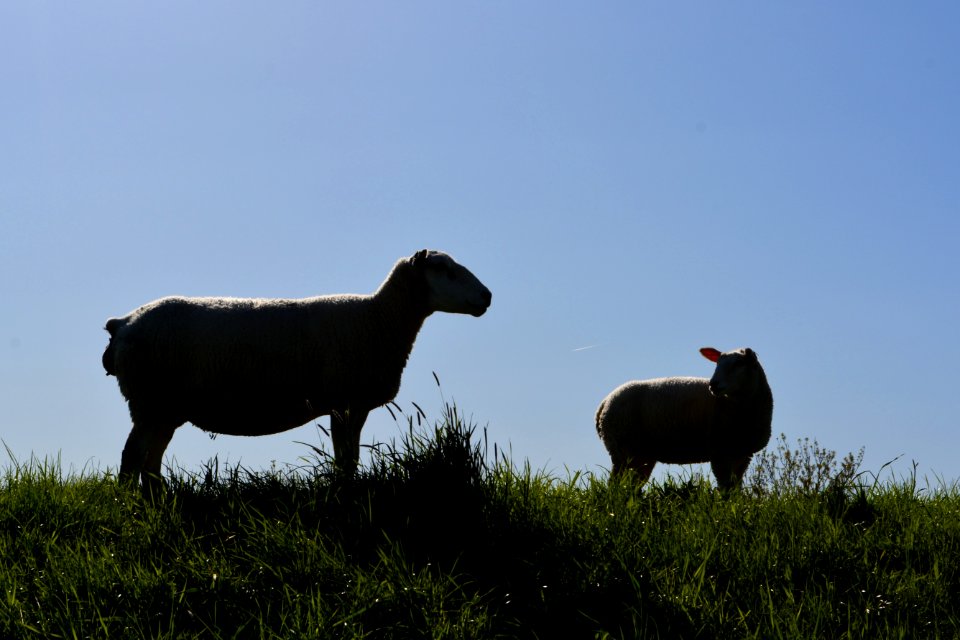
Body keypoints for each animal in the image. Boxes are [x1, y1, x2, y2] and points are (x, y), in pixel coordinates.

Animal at [104, 248, 492, 488]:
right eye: (443, 269)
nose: (487, 296)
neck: (378, 318)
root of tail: (123, 323)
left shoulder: (352, 406)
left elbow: (348, 458)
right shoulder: (344, 402)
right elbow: (345, 459)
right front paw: (346, 491)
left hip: (163, 408)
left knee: (150, 461)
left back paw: (156, 500)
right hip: (149, 400)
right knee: (132, 457)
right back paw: (128, 506)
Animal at [592, 344, 772, 490]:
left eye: (738, 363)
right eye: (717, 364)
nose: (713, 385)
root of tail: (604, 403)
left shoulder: (743, 453)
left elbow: (736, 488)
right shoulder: (718, 452)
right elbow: (726, 489)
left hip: (641, 455)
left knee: (631, 486)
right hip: (623, 449)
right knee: (615, 486)